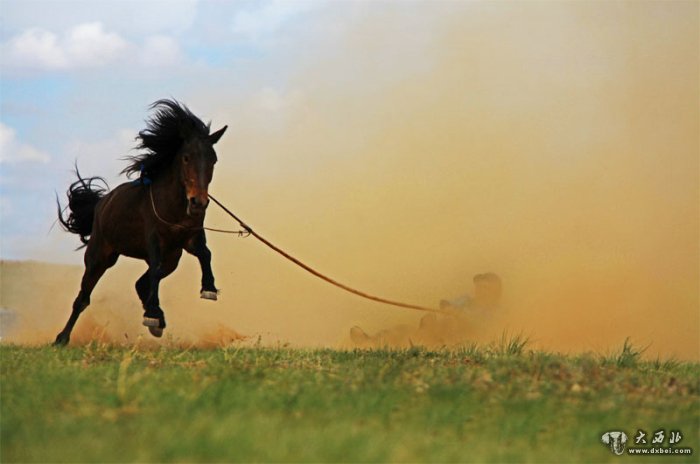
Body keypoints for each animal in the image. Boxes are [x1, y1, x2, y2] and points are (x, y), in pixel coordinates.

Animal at [57, 99, 228, 346]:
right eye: (186, 157)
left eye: (213, 159)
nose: (198, 202)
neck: (174, 206)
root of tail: (101, 203)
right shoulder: (154, 240)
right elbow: (155, 270)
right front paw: (153, 315)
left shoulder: (190, 238)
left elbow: (206, 254)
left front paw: (209, 289)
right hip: (100, 256)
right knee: (83, 298)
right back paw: (61, 338)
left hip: (172, 260)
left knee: (141, 283)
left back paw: (157, 320)